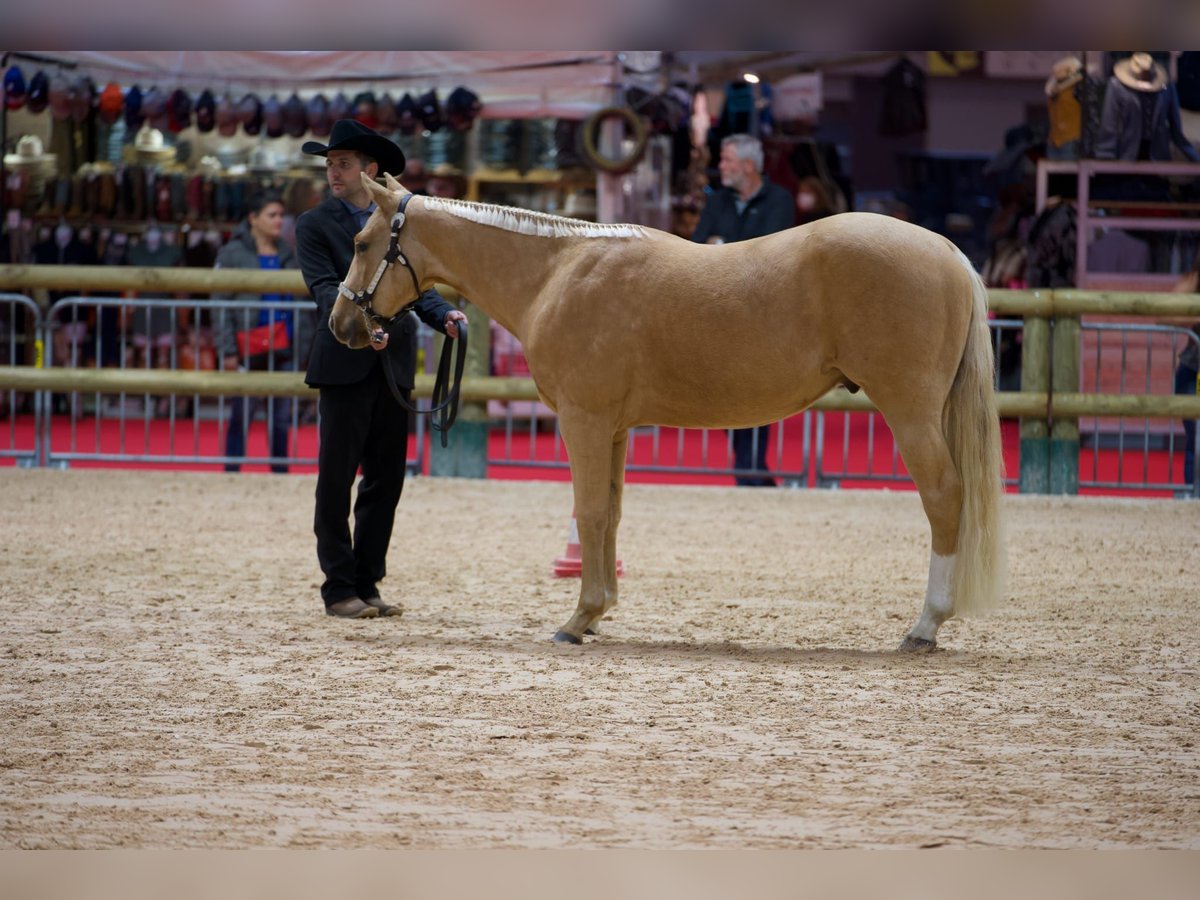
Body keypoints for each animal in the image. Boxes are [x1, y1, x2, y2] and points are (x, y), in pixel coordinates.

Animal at [328, 172, 1003, 652]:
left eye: (361, 242)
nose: (340, 325)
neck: (558, 271)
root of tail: (946, 249)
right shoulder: (616, 430)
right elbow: (611, 515)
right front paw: (600, 612)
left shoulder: (583, 421)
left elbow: (589, 512)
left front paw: (578, 618)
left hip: (909, 411)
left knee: (944, 496)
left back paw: (924, 626)